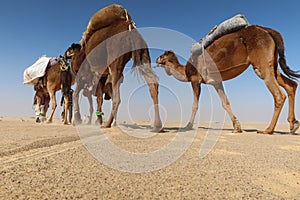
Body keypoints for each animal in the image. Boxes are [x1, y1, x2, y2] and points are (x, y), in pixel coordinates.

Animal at [156, 25, 300, 134]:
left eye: (161, 56)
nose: (156, 59)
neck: (186, 70)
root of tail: (268, 30)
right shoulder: (216, 82)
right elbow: (225, 102)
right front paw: (237, 127)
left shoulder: (195, 80)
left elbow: (195, 105)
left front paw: (187, 126)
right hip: (272, 64)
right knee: (291, 84)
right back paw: (293, 124)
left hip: (261, 62)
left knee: (279, 95)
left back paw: (268, 130)